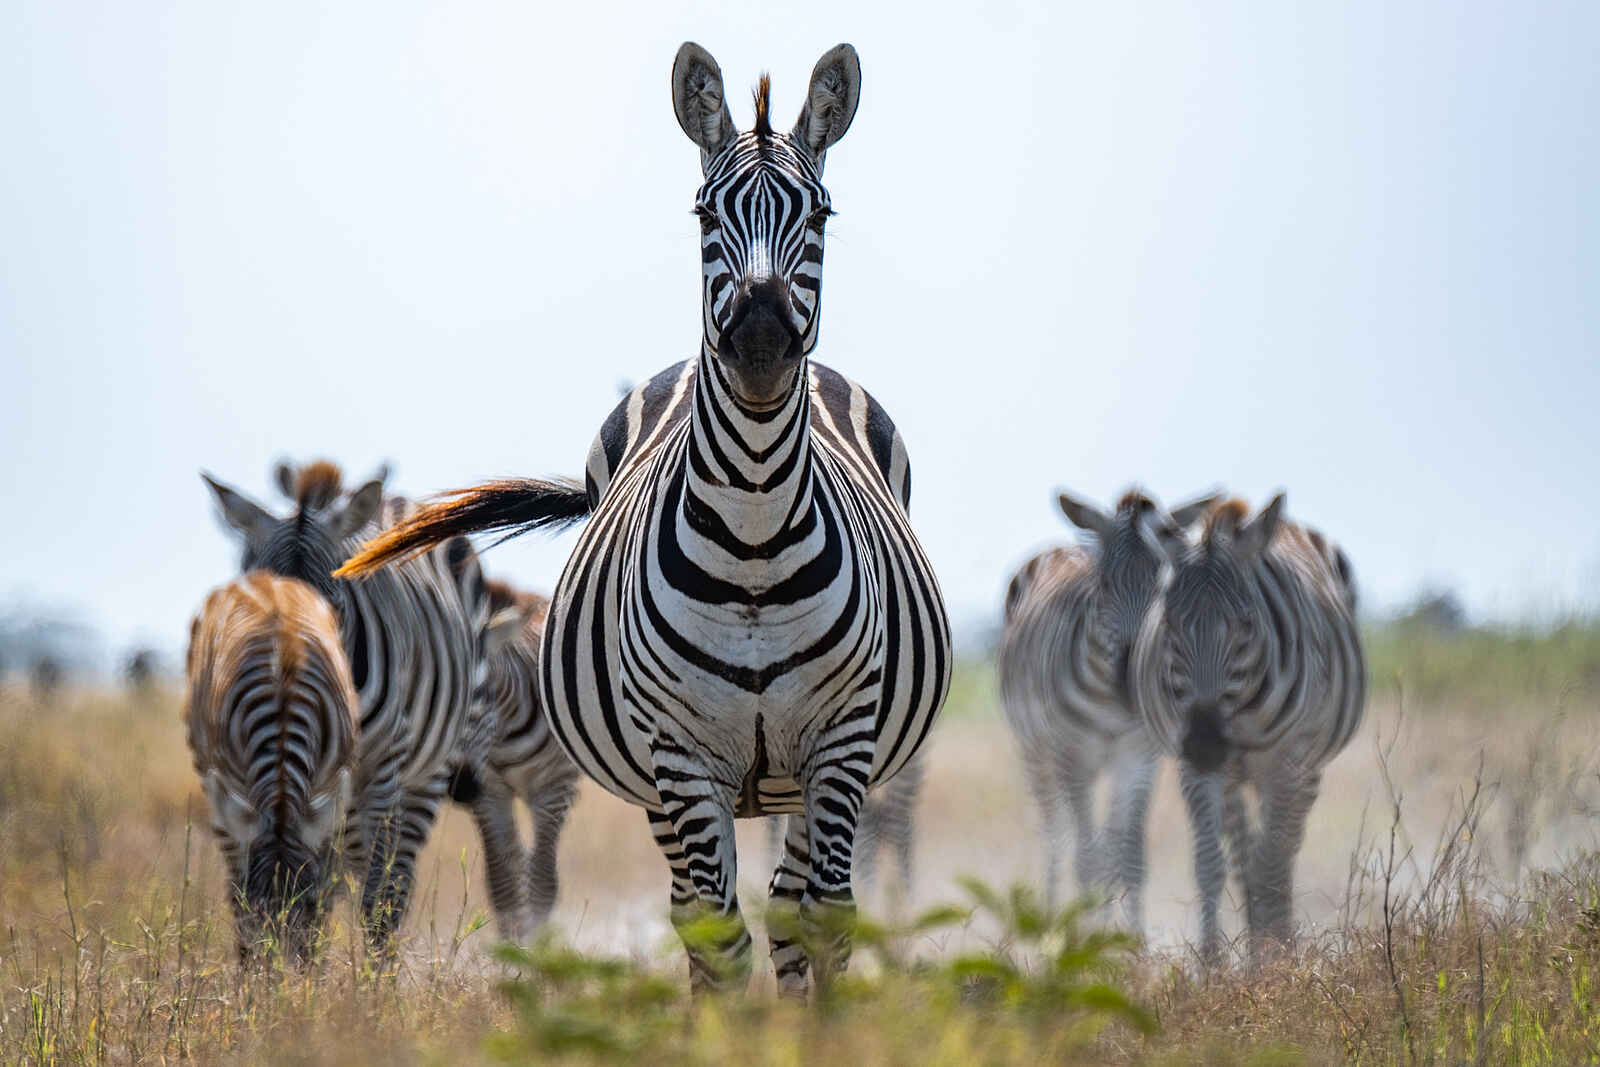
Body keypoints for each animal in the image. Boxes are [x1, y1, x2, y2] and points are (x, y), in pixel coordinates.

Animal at [183, 571, 358, 962]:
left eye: (307, 903)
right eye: (256, 908)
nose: (281, 975)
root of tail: (266, 579)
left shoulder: (329, 797)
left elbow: (326, 884)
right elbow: (237, 893)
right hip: (215, 787)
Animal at [202, 460, 498, 951]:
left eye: (332, 610)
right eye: (256, 604)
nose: (282, 677)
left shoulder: (381, 767)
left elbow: (375, 893)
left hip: (428, 772)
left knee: (394, 884)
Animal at [446, 579, 581, 942]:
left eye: (481, 694)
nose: (458, 787)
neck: (504, 734)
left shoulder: (553, 787)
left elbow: (543, 884)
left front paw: (537, 947)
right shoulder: (490, 791)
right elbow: (502, 884)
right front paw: (511, 947)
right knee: (516, 858)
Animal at [998, 488, 1217, 930]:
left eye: (1163, 585)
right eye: (1103, 583)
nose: (1131, 682)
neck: (1111, 704)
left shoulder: (1140, 757)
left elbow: (1128, 858)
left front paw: (1131, 942)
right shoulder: (1073, 755)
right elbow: (1086, 859)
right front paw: (1081, 940)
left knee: (1106, 845)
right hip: (1036, 753)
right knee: (1057, 836)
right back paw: (1050, 919)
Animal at [1129, 494, 1365, 961]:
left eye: (1245, 624)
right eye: (1169, 625)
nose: (1205, 744)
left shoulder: (1286, 762)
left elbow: (1272, 867)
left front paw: (1276, 963)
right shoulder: (1193, 767)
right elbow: (1210, 864)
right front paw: (1212, 965)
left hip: (1306, 768)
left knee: (1282, 853)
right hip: (1235, 776)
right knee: (1244, 858)